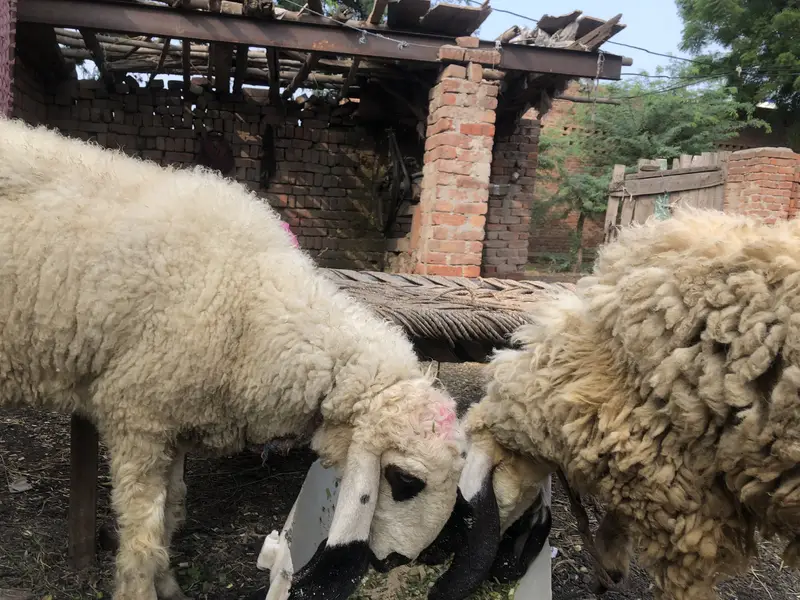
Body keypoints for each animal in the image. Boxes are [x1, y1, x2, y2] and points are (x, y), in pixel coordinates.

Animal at [0, 118, 465, 600]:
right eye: (405, 480)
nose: (402, 561)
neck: (252, 303)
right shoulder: (137, 415)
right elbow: (143, 536)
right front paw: (141, 589)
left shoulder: (172, 420)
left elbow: (171, 514)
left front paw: (168, 584)